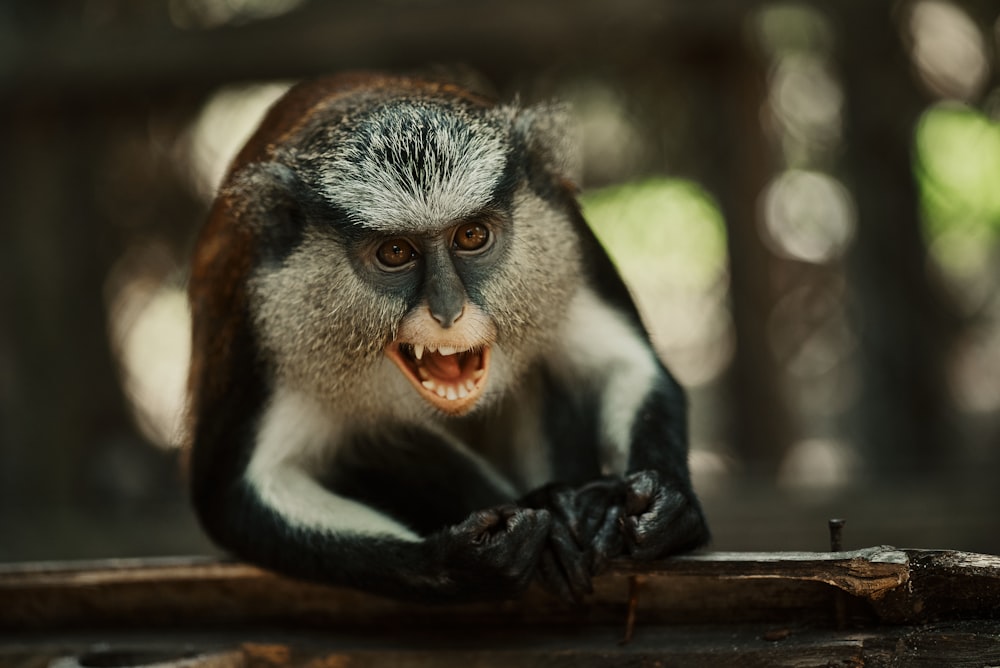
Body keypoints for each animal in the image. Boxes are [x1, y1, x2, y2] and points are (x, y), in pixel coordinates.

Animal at [186, 73, 704, 604]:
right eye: (396, 251)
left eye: (471, 236)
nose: (448, 311)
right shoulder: (256, 318)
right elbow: (240, 495)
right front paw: (463, 562)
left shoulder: (565, 234)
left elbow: (625, 364)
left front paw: (664, 505)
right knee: (383, 436)